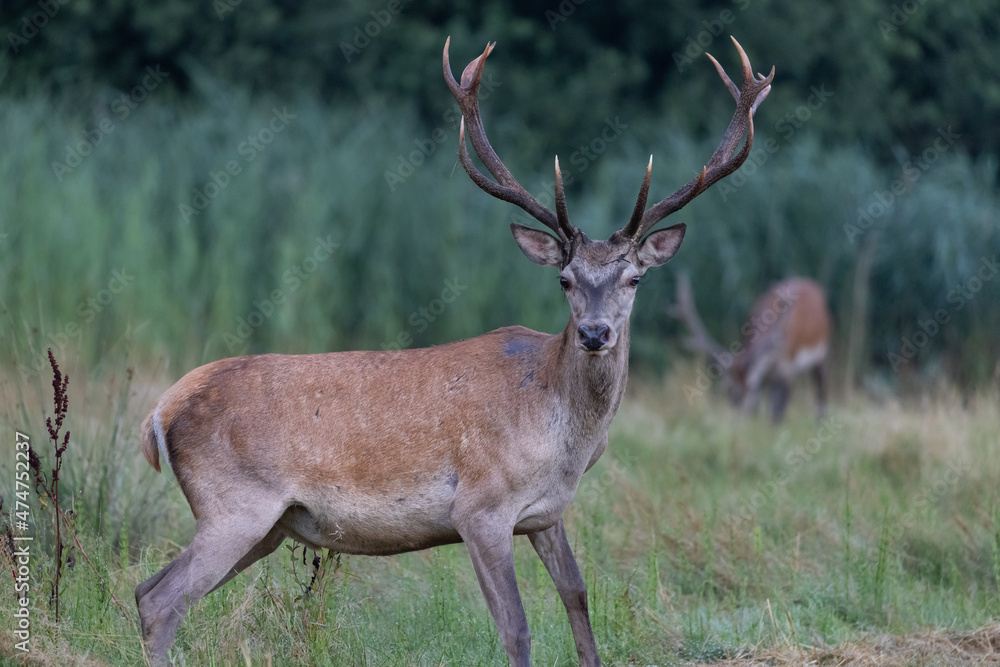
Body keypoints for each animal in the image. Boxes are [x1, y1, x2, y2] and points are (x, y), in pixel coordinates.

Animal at [134, 37, 773, 666]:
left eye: (635, 278)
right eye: (564, 279)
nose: (595, 333)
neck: (563, 436)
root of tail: (161, 411)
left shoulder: (546, 513)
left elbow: (577, 597)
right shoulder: (479, 507)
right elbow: (516, 627)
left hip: (268, 525)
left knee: (145, 589)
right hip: (236, 505)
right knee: (163, 602)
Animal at [668, 272, 830, 422]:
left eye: (750, 389)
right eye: (728, 389)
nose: (738, 420)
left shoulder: (787, 368)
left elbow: (778, 414)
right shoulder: (765, 378)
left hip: (822, 352)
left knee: (820, 396)